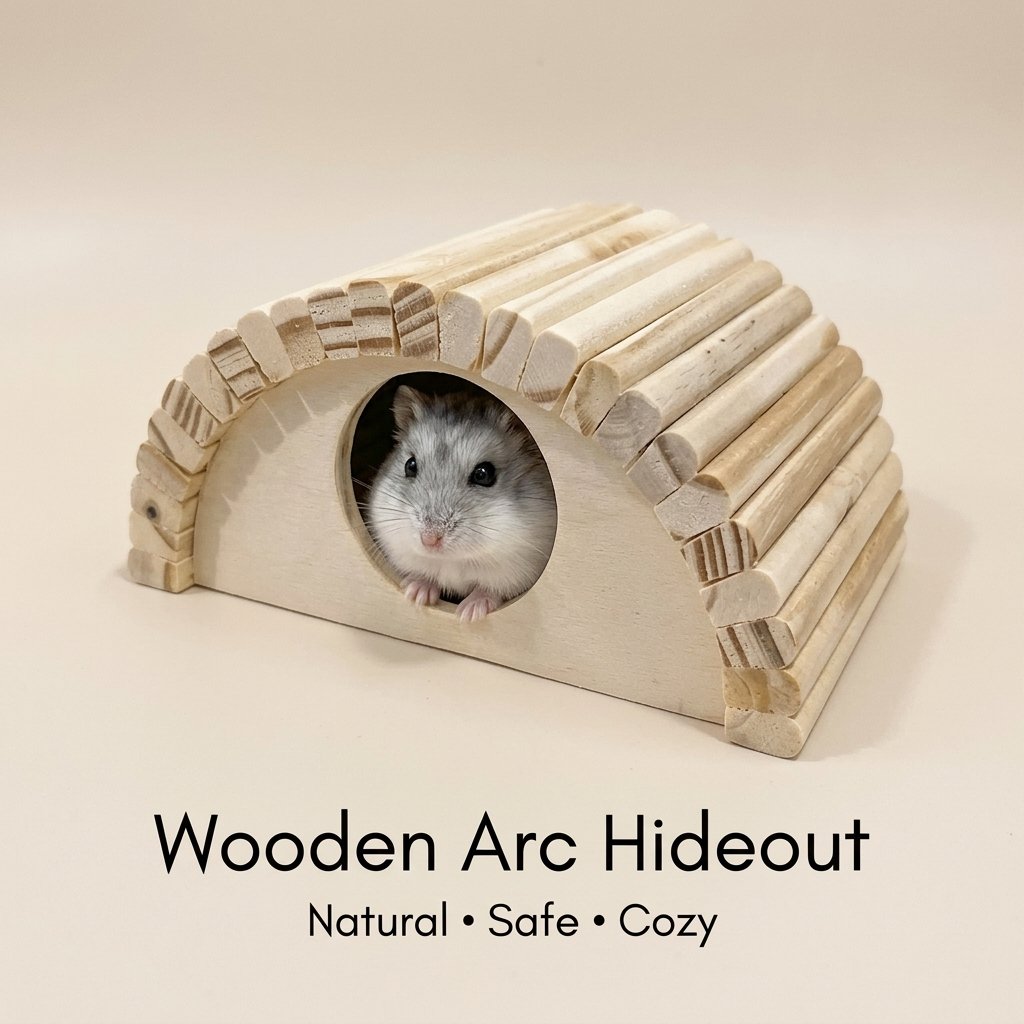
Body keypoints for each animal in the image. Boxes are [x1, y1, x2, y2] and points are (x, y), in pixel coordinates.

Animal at [366, 384, 557, 623]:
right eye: (410, 465)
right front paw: (415, 594)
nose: (429, 540)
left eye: (484, 474)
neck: (455, 560)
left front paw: (468, 614)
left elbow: (490, 591)